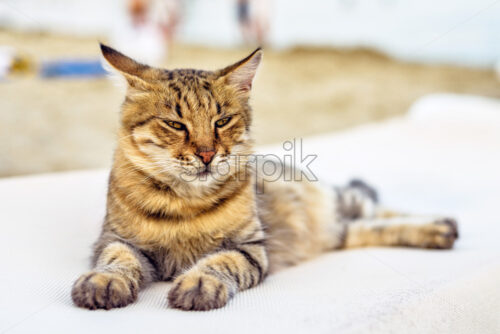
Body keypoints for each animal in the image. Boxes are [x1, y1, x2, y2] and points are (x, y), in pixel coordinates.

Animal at [70, 44, 458, 310]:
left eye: (222, 121)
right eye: (176, 125)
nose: (207, 154)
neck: (185, 204)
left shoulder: (250, 247)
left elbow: (219, 262)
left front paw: (199, 283)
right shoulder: (115, 239)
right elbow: (118, 261)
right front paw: (103, 282)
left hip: (336, 202)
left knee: (373, 205)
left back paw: (442, 225)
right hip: (337, 231)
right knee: (364, 226)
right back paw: (438, 231)